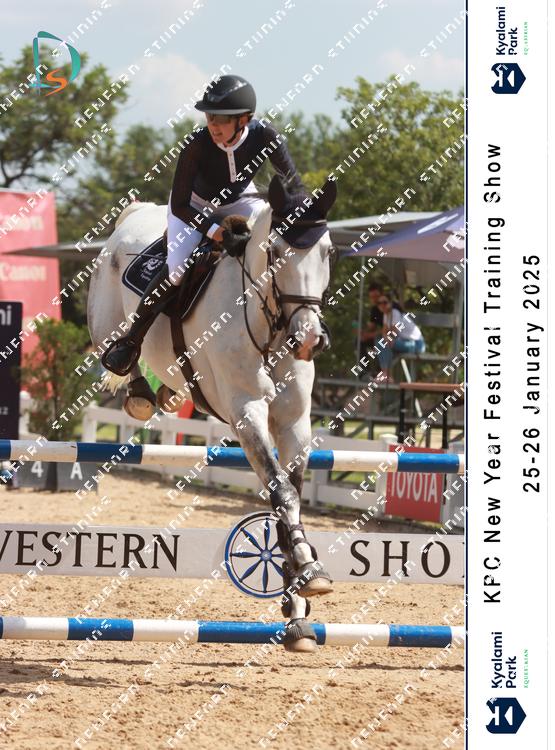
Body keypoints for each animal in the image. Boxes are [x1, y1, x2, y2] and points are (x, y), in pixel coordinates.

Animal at [87, 175, 337, 652]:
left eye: (328, 251)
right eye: (275, 250)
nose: (310, 339)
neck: (269, 323)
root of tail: (138, 211)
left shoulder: (293, 424)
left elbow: (290, 499)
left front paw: (298, 604)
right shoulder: (246, 413)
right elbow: (283, 493)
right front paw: (307, 570)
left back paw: (166, 393)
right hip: (106, 323)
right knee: (121, 349)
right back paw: (139, 389)